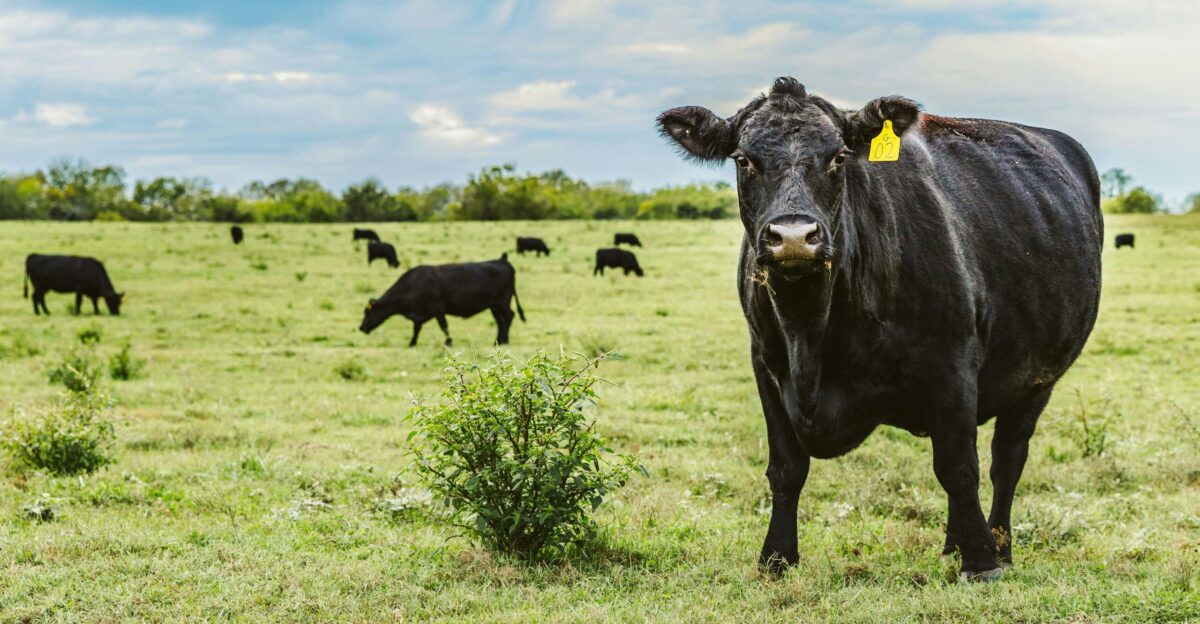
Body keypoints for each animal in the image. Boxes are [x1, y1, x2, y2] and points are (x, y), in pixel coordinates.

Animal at [360, 253, 525, 346]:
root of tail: (502, 261)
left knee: (509, 317)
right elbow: (416, 329)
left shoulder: (437, 308)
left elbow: (444, 326)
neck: (414, 284)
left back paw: (501, 341)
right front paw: (412, 343)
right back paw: (501, 340)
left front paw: (449, 342)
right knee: (501, 321)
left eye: (367, 313)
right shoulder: (419, 315)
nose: (361, 327)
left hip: (502, 302)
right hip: (494, 306)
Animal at [658, 77, 1101, 582]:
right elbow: (786, 467)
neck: (809, 330)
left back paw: (997, 547)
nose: (794, 237)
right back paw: (954, 545)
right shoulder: (766, 363)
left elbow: (959, 466)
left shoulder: (952, 363)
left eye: (838, 157)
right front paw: (776, 557)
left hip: (1038, 380)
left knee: (1006, 460)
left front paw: (982, 561)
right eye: (743, 159)